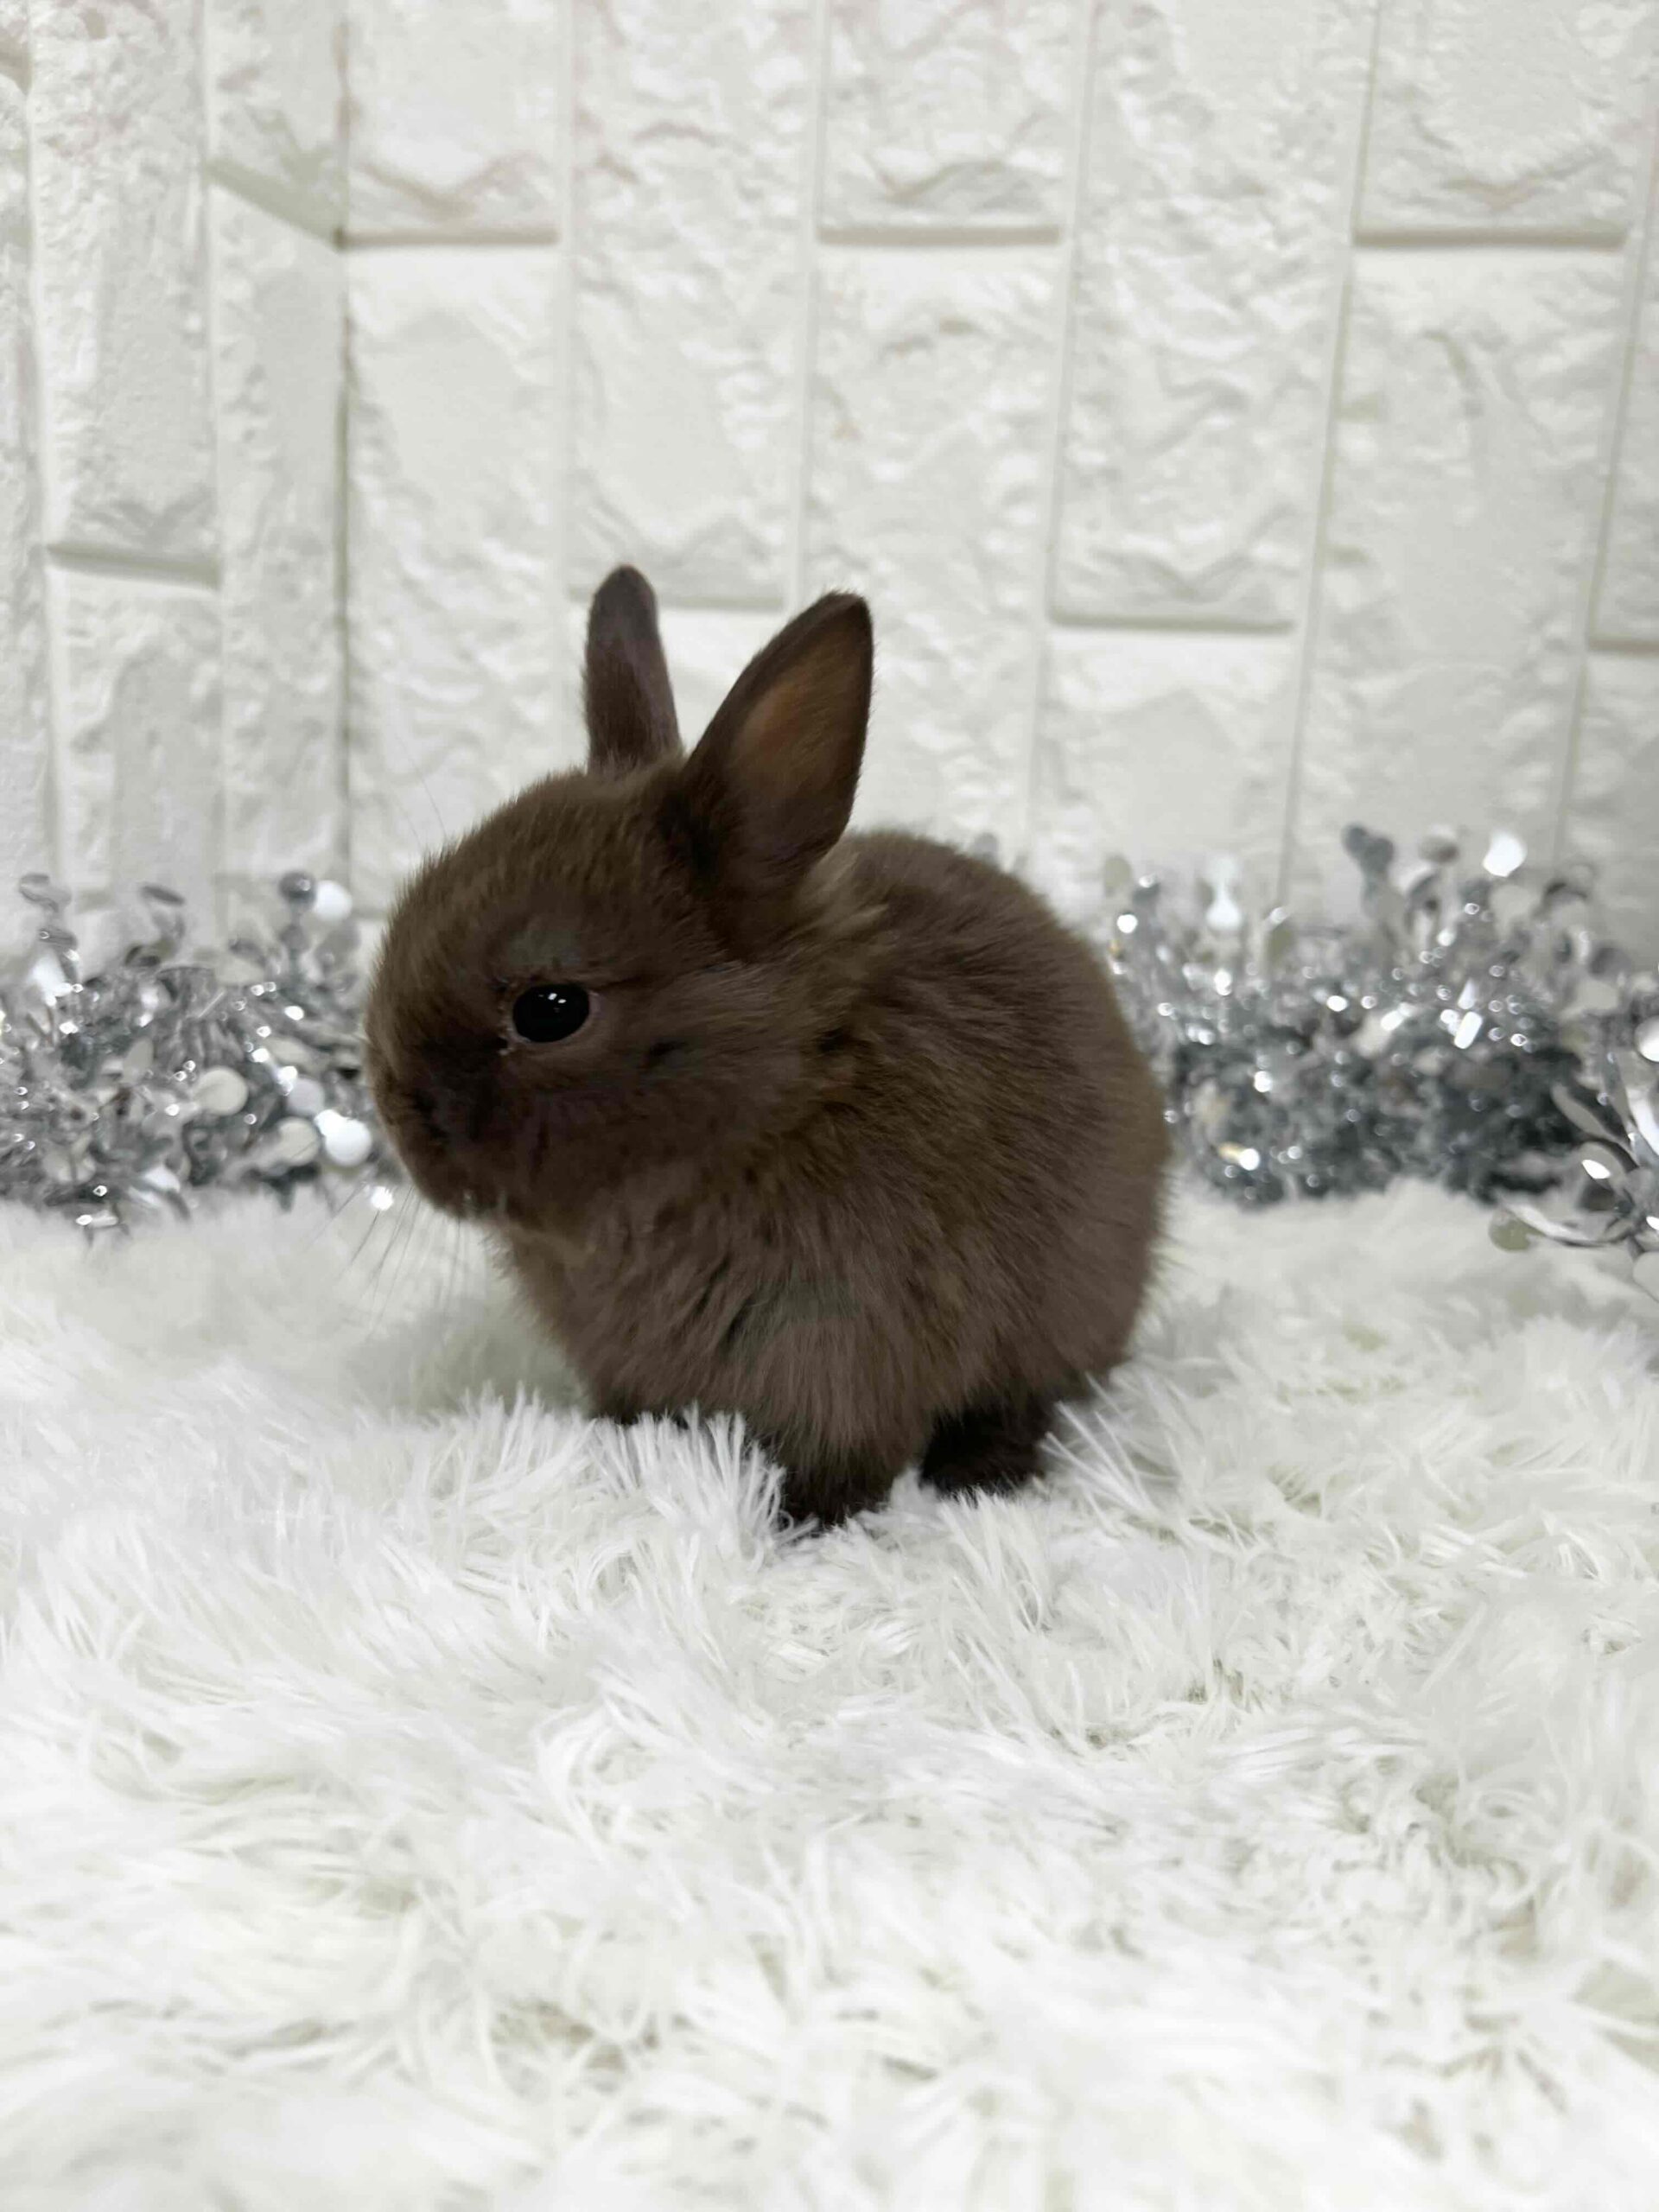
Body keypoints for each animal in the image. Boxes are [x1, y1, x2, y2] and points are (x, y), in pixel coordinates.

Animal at [366, 566, 1168, 1526]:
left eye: (552, 1010)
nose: (399, 1123)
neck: (783, 1097)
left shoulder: (850, 1364)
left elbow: (844, 1461)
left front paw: (798, 1522)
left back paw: (982, 1476)